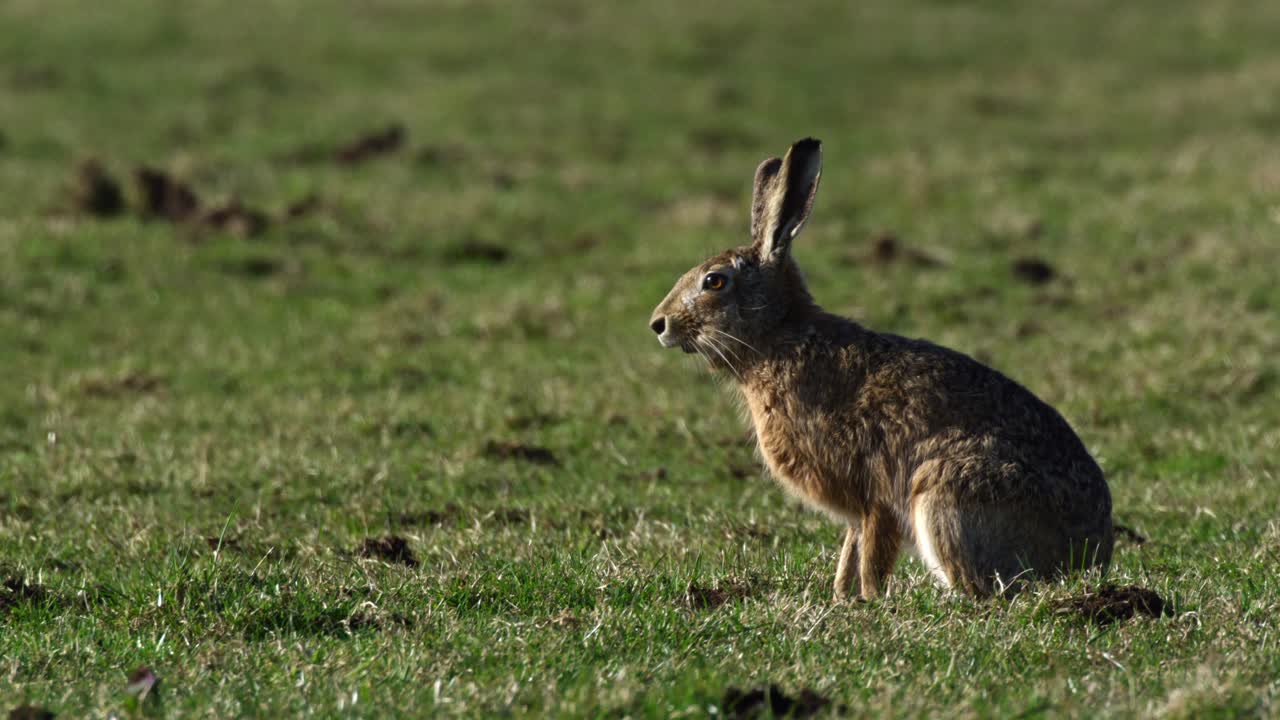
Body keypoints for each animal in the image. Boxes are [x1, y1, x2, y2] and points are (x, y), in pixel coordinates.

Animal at [648, 138, 1113, 599]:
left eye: (714, 281)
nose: (659, 324)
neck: (777, 338)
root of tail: (1092, 554)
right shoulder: (858, 510)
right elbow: (851, 547)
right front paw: (842, 594)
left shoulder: (874, 493)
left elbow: (872, 548)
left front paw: (868, 598)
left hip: (944, 493)